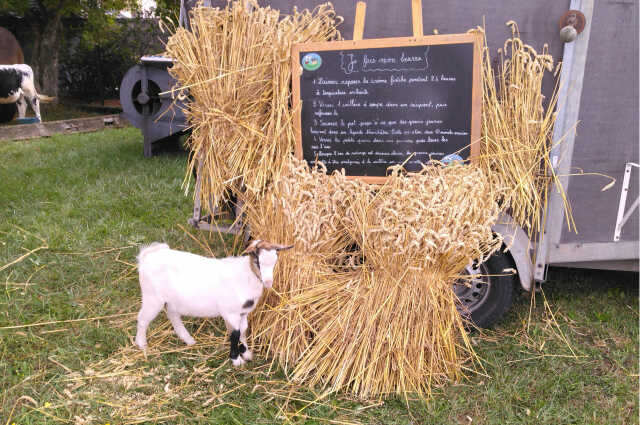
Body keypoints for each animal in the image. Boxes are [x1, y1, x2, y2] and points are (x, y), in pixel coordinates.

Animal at [138, 238, 296, 364]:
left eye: (275, 261)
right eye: (257, 261)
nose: (268, 282)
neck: (245, 276)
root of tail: (147, 256)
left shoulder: (243, 312)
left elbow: (244, 330)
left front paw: (246, 353)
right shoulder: (231, 313)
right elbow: (235, 334)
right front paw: (236, 359)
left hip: (170, 299)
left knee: (172, 314)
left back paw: (188, 340)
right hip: (152, 297)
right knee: (142, 319)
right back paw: (142, 345)